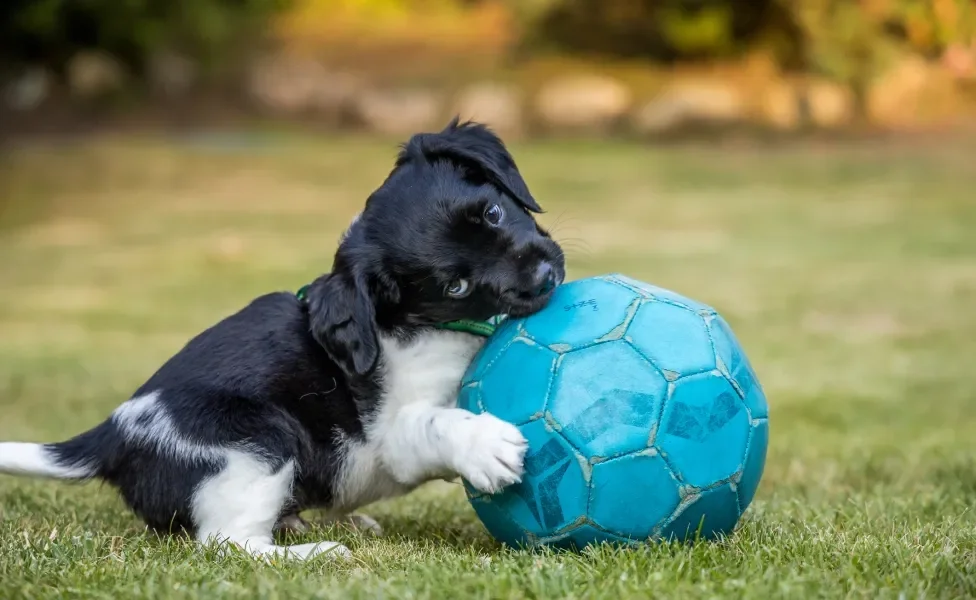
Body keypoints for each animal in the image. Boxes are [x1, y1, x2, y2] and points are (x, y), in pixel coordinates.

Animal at [0, 119, 564, 560]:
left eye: (492, 213)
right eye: (455, 286)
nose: (545, 276)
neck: (426, 325)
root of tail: (114, 433)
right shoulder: (394, 433)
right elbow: (437, 422)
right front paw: (485, 445)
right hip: (260, 441)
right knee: (228, 543)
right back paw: (317, 552)